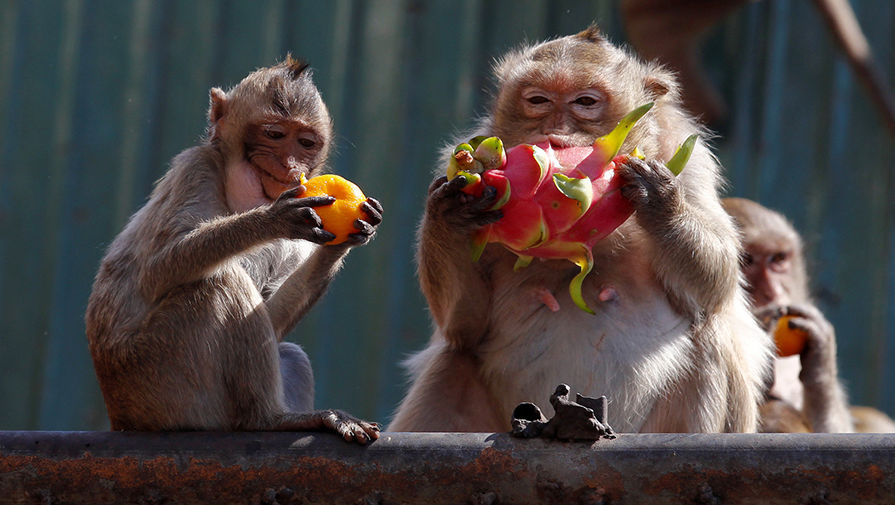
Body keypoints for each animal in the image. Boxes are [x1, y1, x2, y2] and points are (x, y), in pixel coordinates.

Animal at [86, 55, 386, 440]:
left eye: (305, 142)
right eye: (274, 135)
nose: (291, 166)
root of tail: (121, 417)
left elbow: (272, 321)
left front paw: (345, 240)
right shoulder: (195, 168)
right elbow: (157, 269)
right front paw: (271, 220)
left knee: (289, 353)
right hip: (161, 382)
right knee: (217, 283)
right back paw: (269, 419)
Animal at [388, 25, 772, 432]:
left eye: (585, 102)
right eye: (538, 100)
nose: (555, 135)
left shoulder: (692, 163)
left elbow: (716, 284)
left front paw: (659, 200)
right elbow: (463, 325)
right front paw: (449, 213)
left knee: (712, 335)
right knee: (453, 360)